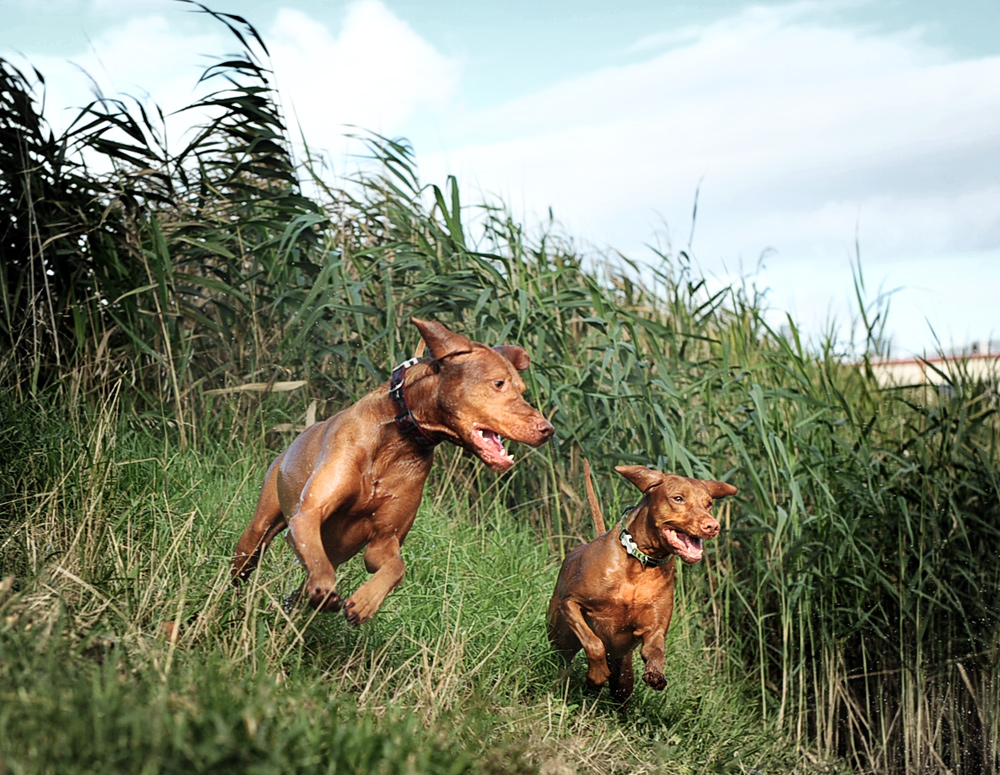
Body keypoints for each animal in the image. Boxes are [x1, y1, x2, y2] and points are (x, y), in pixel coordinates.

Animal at [233, 318, 556, 628]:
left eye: (522, 390)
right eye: (498, 383)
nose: (548, 430)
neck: (398, 441)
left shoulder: (383, 543)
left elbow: (396, 568)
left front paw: (365, 601)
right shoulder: (307, 515)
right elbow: (319, 564)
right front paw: (325, 590)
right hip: (256, 534)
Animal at [548, 464, 736, 708]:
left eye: (709, 503)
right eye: (678, 498)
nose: (713, 526)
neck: (640, 565)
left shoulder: (654, 632)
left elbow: (656, 652)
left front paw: (656, 673)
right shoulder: (570, 604)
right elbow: (594, 642)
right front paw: (596, 674)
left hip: (623, 676)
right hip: (561, 640)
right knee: (562, 663)